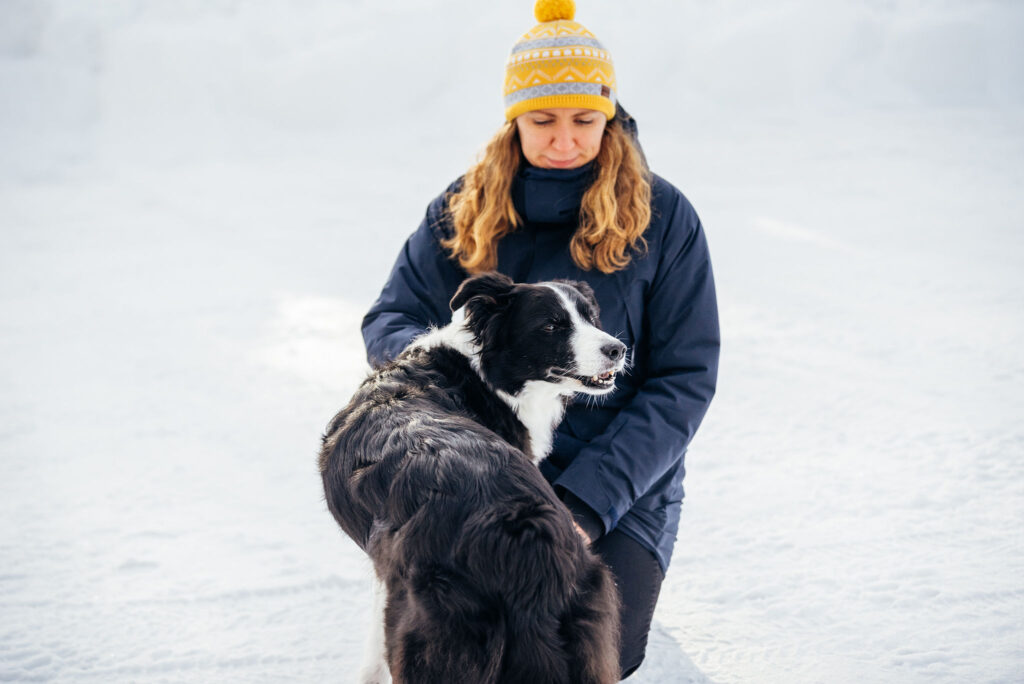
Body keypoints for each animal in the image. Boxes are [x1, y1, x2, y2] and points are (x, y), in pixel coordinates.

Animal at [319, 272, 622, 684]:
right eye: (551, 326)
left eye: (591, 318)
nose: (619, 349)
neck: (479, 374)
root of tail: (522, 529)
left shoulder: (386, 575)